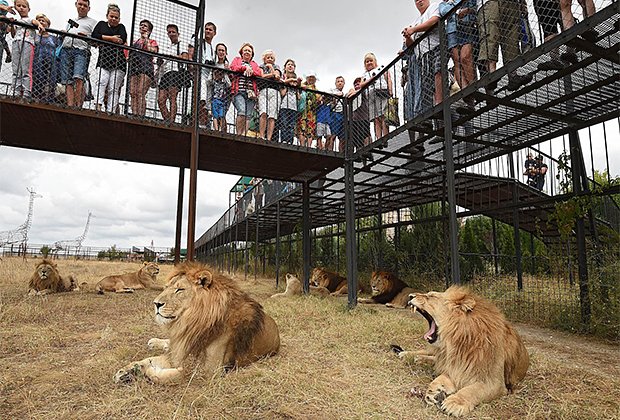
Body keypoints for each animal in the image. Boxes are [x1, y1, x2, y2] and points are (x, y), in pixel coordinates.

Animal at [114, 260, 280, 386]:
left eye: (179, 290)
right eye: (166, 288)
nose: (156, 304)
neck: (193, 324)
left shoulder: (210, 370)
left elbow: (177, 375)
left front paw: (145, 373)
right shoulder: (181, 350)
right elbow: (147, 360)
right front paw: (125, 371)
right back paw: (154, 342)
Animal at [394, 286, 532, 416]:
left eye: (431, 296)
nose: (410, 296)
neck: (457, 344)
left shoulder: (494, 382)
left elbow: (472, 390)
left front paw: (454, 402)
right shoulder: (454, 368)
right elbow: (439, 378)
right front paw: (433, 392)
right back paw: (407, 355)